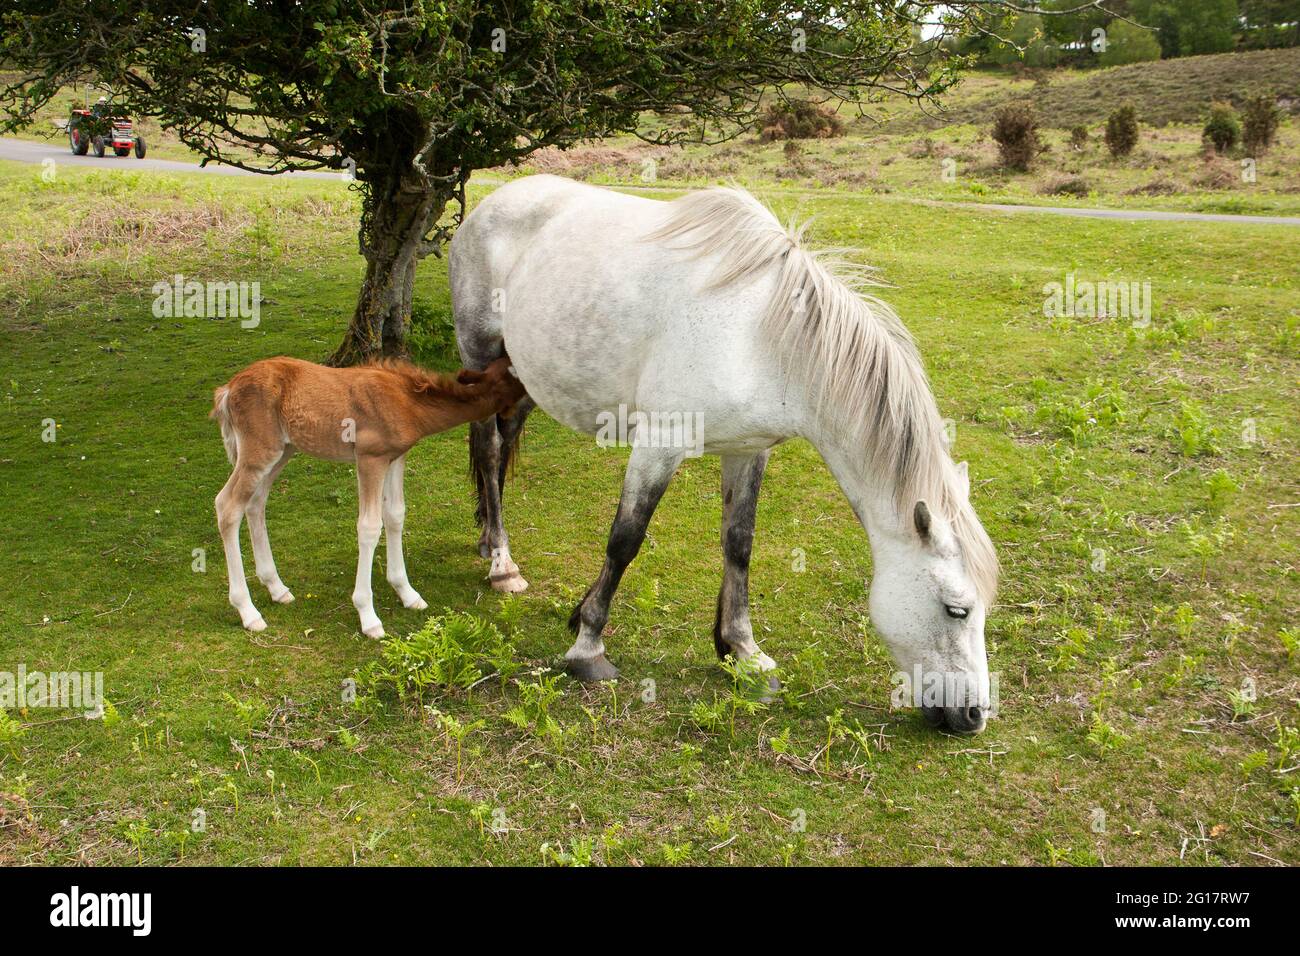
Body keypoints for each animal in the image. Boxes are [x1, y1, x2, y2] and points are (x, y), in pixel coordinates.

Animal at [210, 356, 525, 639]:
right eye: (515, 372)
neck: (407, 401)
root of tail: (227, 389)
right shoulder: (369, 458)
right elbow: (370, 527)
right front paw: (368, 616)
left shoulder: (395, 457)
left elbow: (396, 515)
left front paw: (407, 593)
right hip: (259, 450)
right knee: (227, 505)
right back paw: (248, 611)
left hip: (283, 450)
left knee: (255, 502)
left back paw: (277, 588)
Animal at [452, 175, 998, 738]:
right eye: (957, 610)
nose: (975, 715)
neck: (761, 338)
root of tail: (497, 201)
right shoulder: (660, 443)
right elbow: (625, 540)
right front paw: (588, 646)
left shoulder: (747, 450)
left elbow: (739, 543)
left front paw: (742, 650)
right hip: (479, 354)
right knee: (489, 450)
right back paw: (502, 563)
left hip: (524, 374)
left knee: (505, 439)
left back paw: (488, 538)